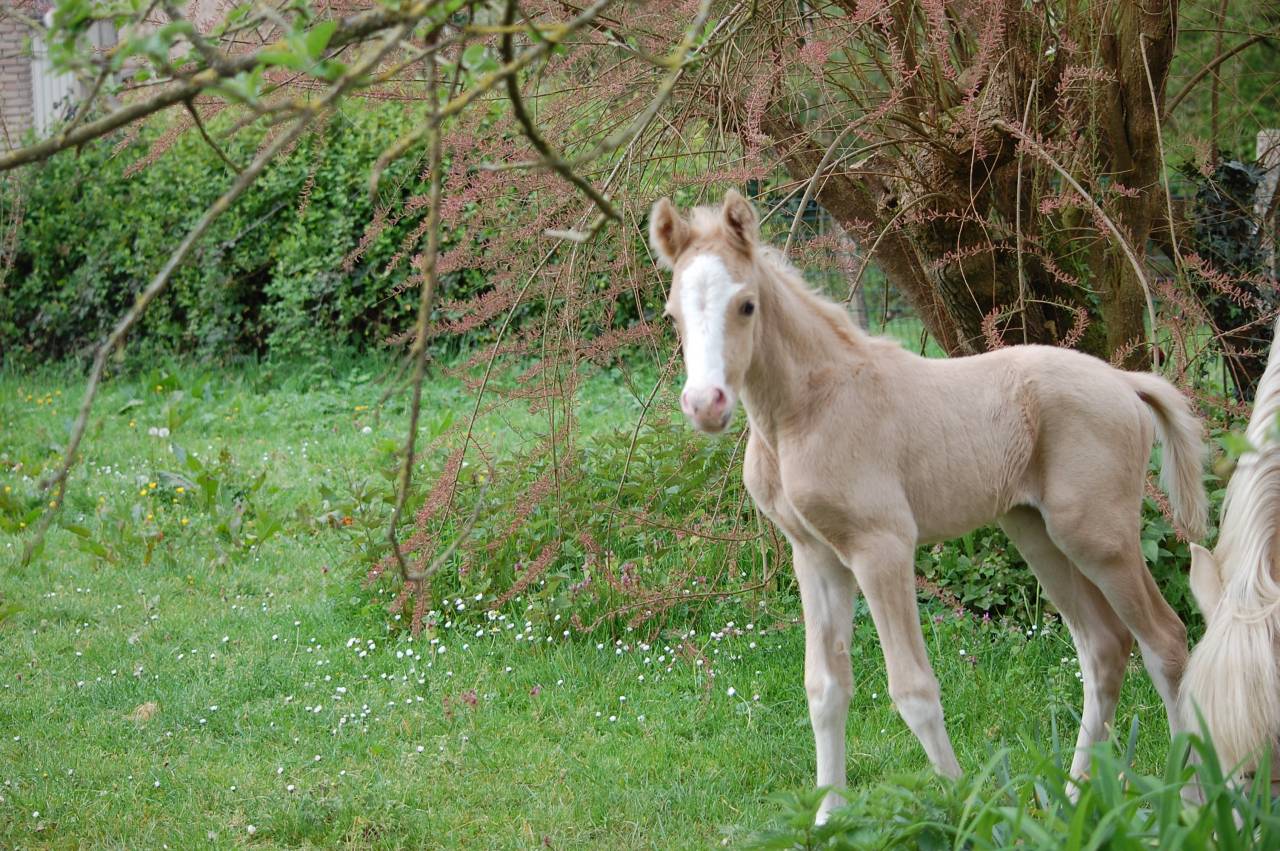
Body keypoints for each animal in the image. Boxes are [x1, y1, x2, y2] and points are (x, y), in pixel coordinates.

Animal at [650, 190, 1207, 822]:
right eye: (672, 315)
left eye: (746, 305)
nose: (706, 405)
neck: (806, 410)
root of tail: (1124, 382)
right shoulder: (816, 555)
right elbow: (825, 688)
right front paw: (827, 820)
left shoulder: (881, 547)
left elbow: (913, 689)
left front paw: (965, 811)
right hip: (1036, 532)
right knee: (1105, 648)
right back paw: (1072, 799)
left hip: (1099, 536)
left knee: (1165, 641)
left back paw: (1192, 804)